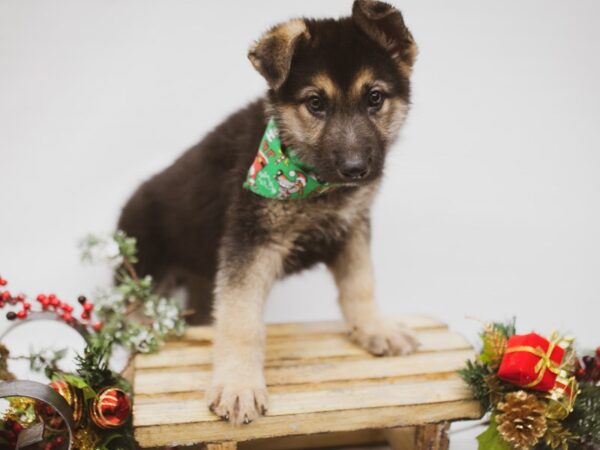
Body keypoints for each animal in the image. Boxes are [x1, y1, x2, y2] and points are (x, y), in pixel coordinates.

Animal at [117, 0, 418, 426]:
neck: (307, 177)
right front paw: (238, 384)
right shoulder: (251, 240)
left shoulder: (351, 226)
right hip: (144, 271)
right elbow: (241, 319)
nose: (356, 169)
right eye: (315, 103)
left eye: (374, 97)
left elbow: (361, 283)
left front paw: (376, 327)